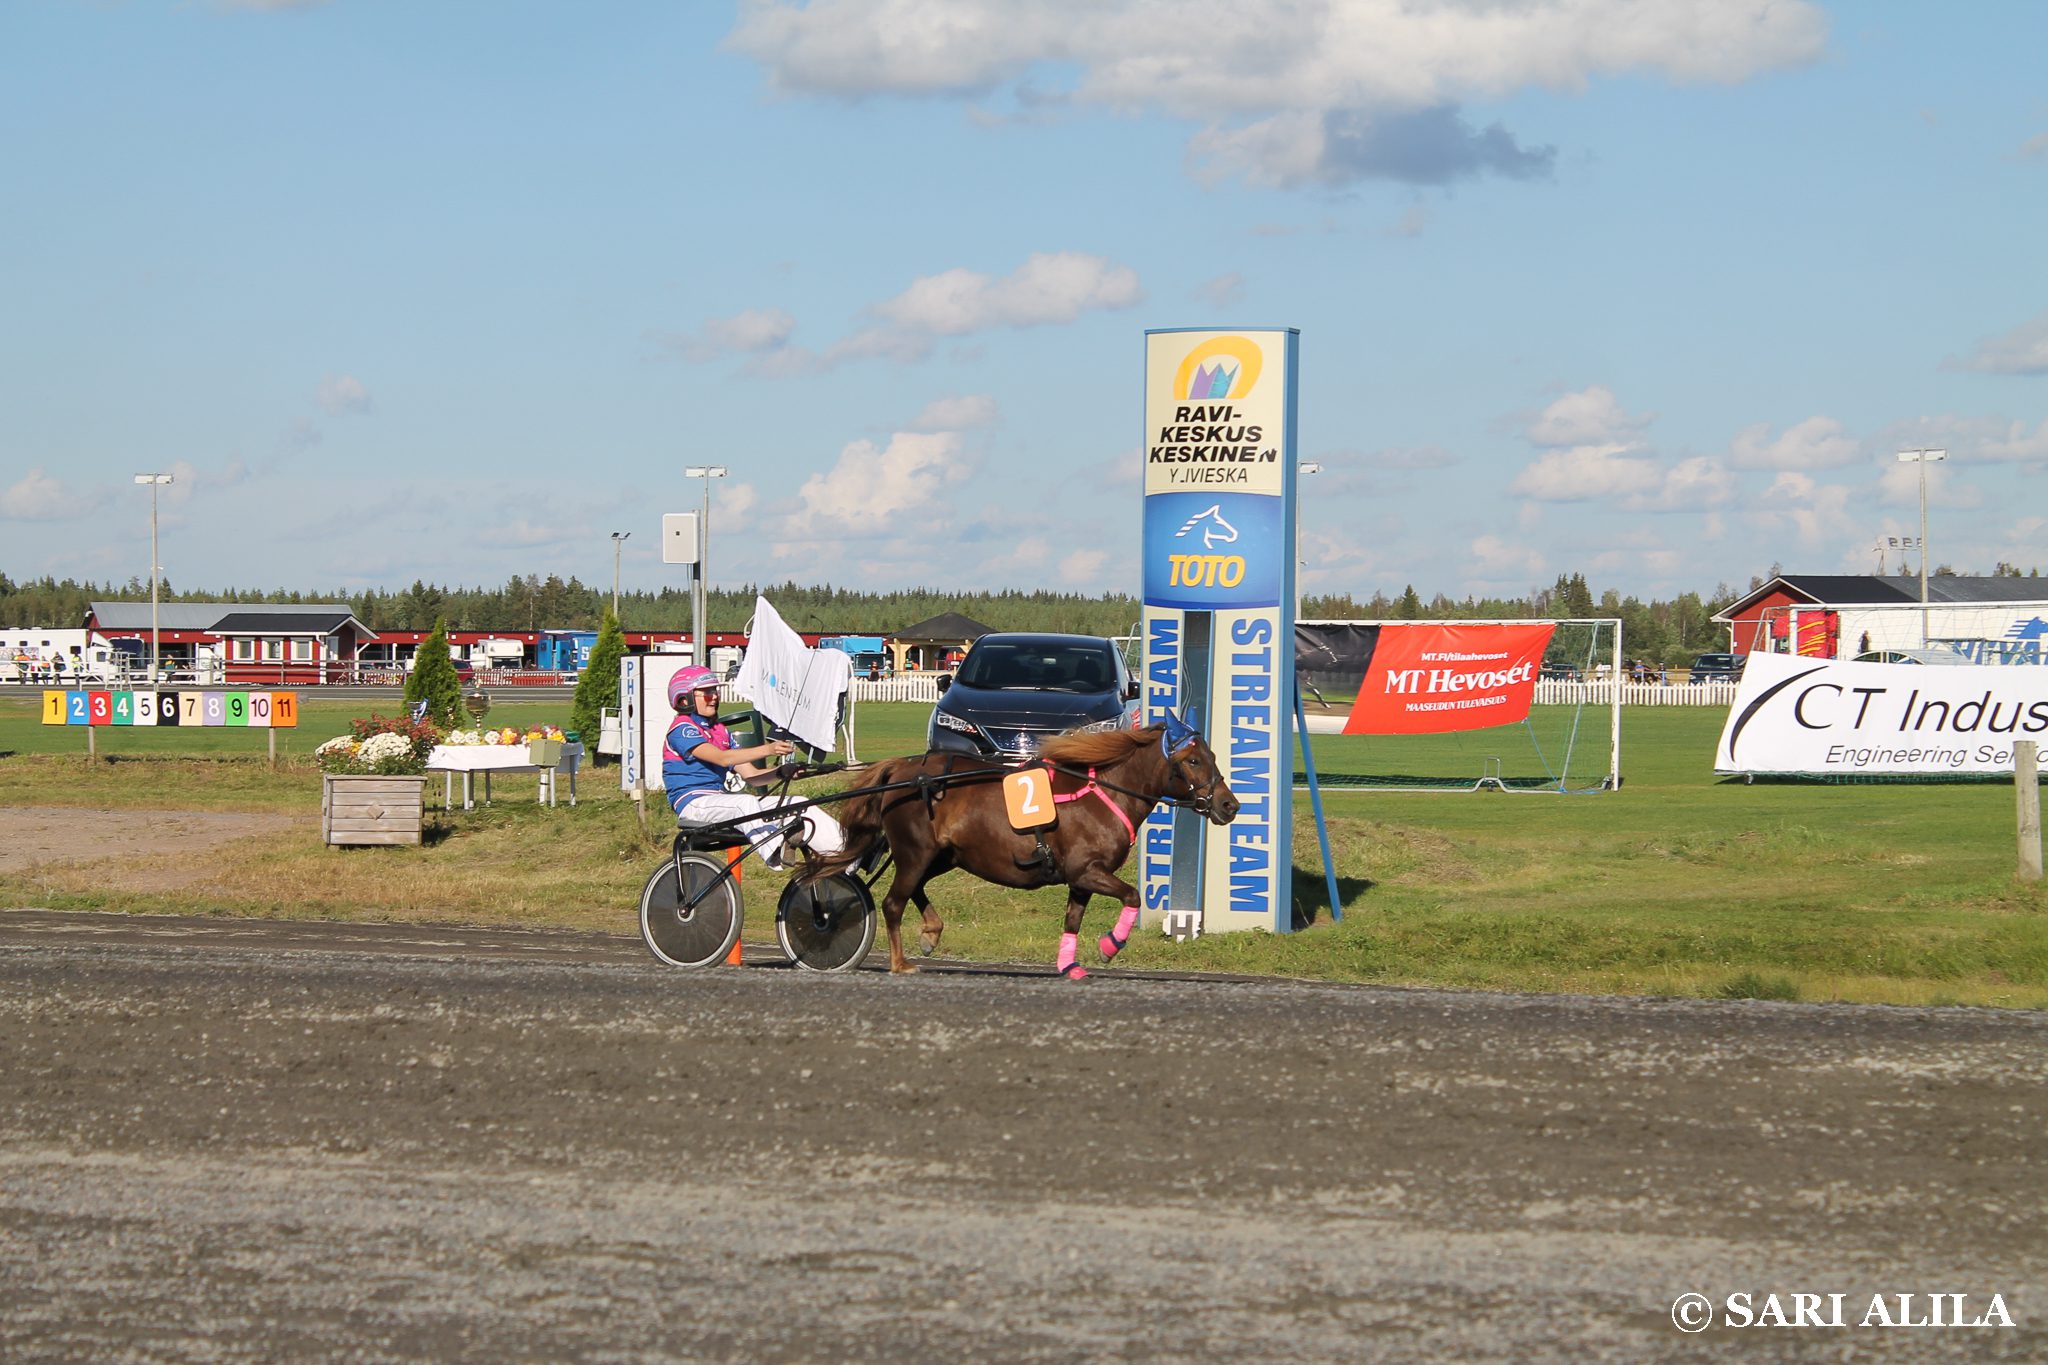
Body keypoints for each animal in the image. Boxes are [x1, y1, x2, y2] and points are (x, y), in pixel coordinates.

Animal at [800, 718, 1238, 978]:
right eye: (1194, 760)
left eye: (1212, 755)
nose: (1228, 805)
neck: (1101, 794)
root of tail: (902, 769)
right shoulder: (1087, 870)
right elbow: (1132, 896)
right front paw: (1109, 946)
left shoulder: (1081, 878)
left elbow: (1072, 920)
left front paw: (1070, 964)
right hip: (916, 852)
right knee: (894, 902)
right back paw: (901, 962)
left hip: (943, 856)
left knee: (916, 890)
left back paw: (931, 932)